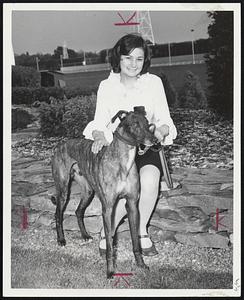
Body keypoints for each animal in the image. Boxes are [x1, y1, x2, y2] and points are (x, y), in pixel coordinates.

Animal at [51, 106, 158, 278]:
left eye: (148, 124)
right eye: (135, 124)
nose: (155, 141)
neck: (123, 162)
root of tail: (60, 145)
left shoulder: (132, 205)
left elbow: (136, 241)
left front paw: (141, 264)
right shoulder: (108, 208)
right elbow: (109, 243)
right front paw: (110, 271)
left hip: (88, 191)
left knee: (78, 211)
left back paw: (85, 235)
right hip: (62, 189)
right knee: (58, 214)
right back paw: (61, 239)